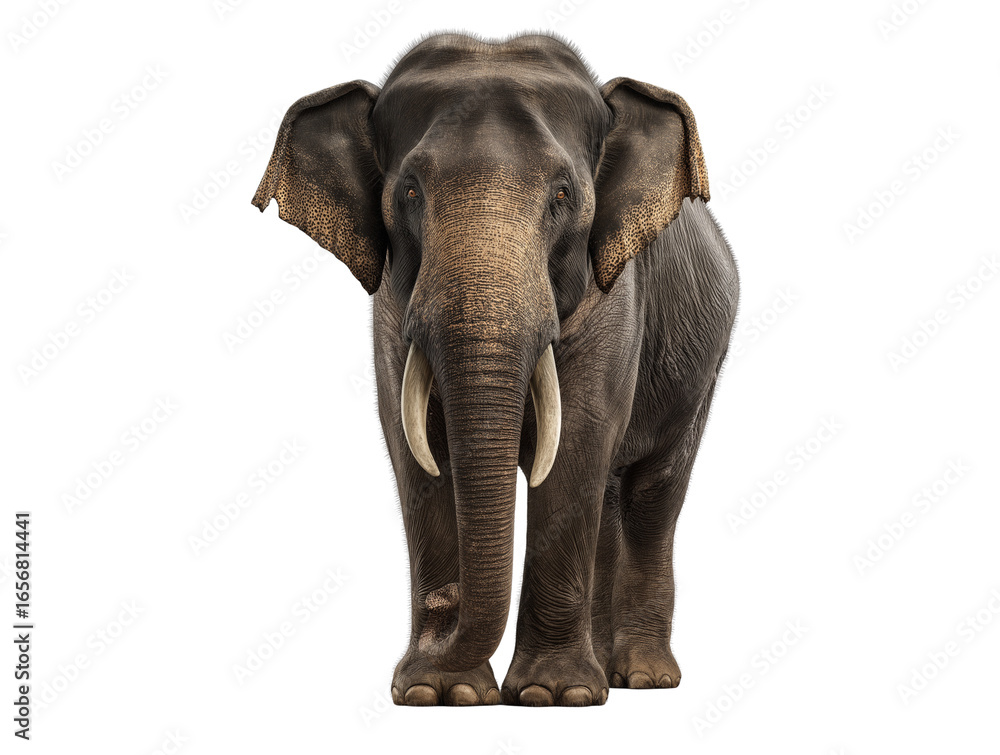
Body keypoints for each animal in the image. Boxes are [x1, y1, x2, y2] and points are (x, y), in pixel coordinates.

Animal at [252, 32, 738, 707]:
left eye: (563, 195)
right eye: (408, 193)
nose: (406, 666)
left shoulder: (613, 301)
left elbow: (577, 442)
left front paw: (552, 696)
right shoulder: (392, 314)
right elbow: (416, 450)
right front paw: (438, 693)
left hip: (703, 367)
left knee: (651, 493)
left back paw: (641, 679)